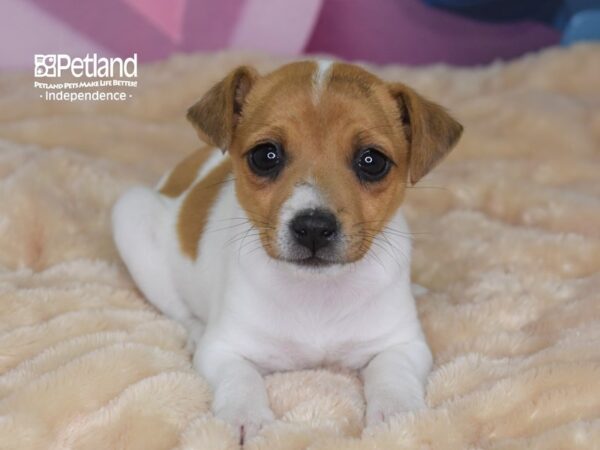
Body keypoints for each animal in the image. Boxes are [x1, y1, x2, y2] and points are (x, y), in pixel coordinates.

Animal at [110, 61, 462, 444]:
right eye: (265, 156)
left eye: (372, 161)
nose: (313, 227)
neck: (317, 295)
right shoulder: (223, 349)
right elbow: (241, 378)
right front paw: (245, 415)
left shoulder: (403, 344)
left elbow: (393, 373)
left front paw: (398, 412)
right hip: (132, 216)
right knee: (178, 309)